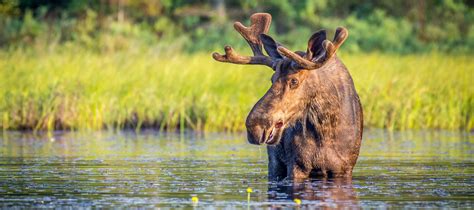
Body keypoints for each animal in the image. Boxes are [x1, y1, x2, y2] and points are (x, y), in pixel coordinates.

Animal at [212, 12, 362, 180]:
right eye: (272, 79)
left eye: (294, 81)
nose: (254, 126)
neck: (326, 128)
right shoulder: (296, 165)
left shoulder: (344, 169)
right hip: (274, 163)